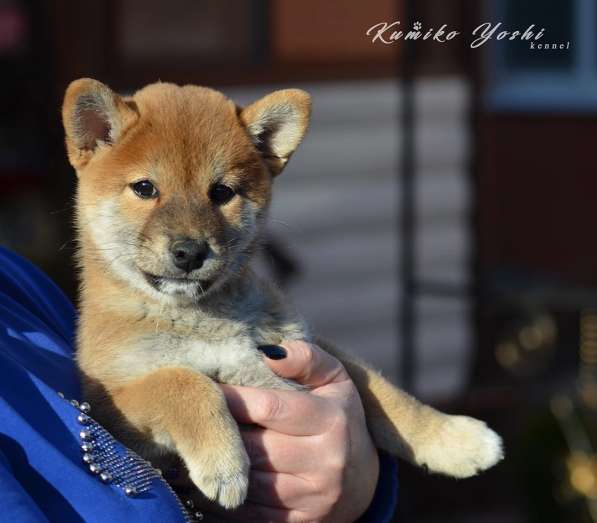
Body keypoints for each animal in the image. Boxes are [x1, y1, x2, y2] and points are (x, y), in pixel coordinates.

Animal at [61, 78, 502, 512]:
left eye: (221, 192)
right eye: (144, 188)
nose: (190, 252)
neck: (204, 316)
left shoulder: (304, 344)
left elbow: (386, 393)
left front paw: (456, 438)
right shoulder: (109, 399)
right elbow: (182, 381)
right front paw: (224, 463)